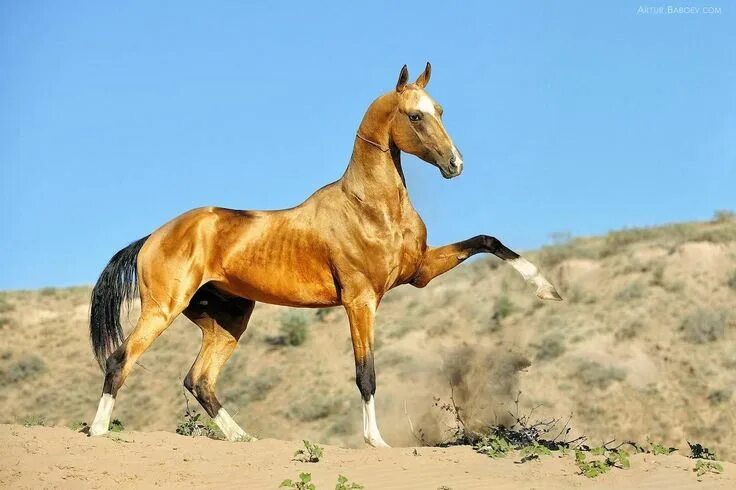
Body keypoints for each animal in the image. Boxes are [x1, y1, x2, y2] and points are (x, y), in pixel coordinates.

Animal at [89, 64, 560, 448]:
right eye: (415, 115)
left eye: (440, 110)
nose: (455, 164)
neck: (369, 207)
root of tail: (152, 237)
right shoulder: (360, 301)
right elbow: (366, 373)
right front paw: (375, 441)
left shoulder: (420, 271)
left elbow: (487, 241)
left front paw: (547, 289)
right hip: (163, 309)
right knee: (121, 360)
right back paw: (98, 431)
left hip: (227, 320)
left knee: (199, 379)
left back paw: (244, 437)